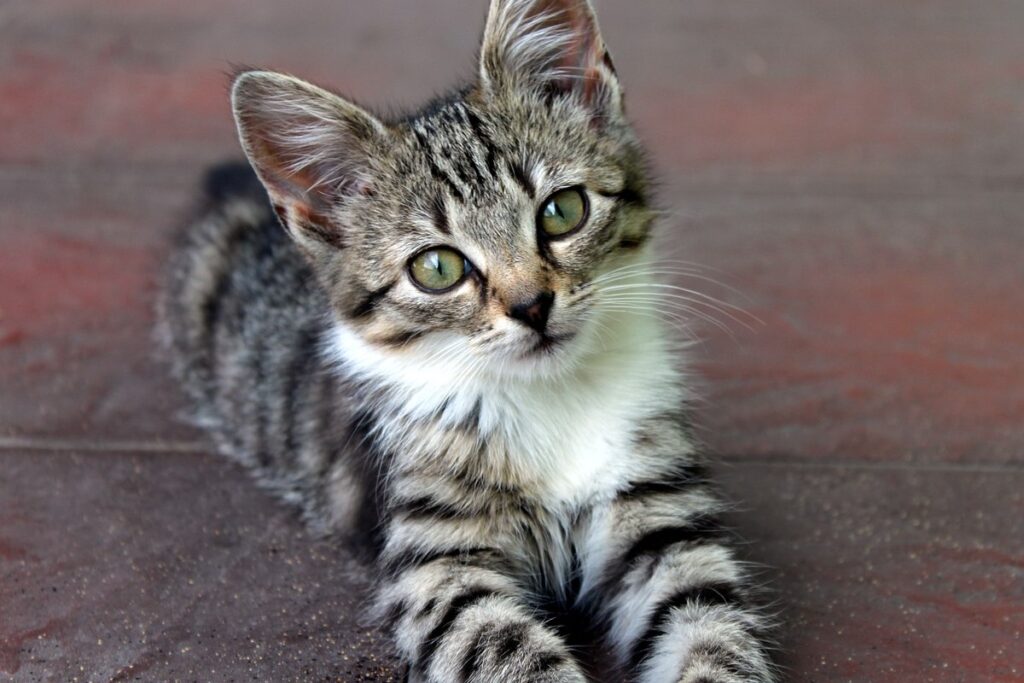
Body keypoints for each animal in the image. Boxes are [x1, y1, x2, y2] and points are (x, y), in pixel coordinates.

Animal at [159, 2, 774, 679]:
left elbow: (712, 627)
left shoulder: (662, 518)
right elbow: (509, 651)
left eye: (562, 211)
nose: (532, 306)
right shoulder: (437, 566)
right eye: (437, 268)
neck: (549, 397)